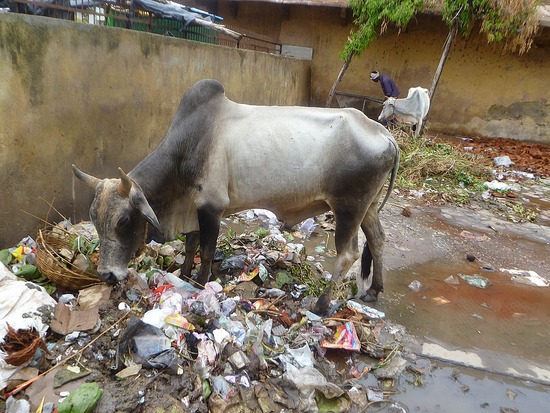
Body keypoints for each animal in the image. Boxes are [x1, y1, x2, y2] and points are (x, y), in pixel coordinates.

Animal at [73, 79, 402, 312]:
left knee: (348, 255)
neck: (189, 146)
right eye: (93, 218)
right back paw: (373, 290)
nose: (106, 275)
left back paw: (321, 305)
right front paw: (183, 273)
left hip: (348, 208)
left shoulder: (211, 208)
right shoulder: (194, 209)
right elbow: (190, 247)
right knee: (378, 239)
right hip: (369, 206)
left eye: (123, 220)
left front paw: (201, 283)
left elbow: (206, 250)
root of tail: (385, 134)